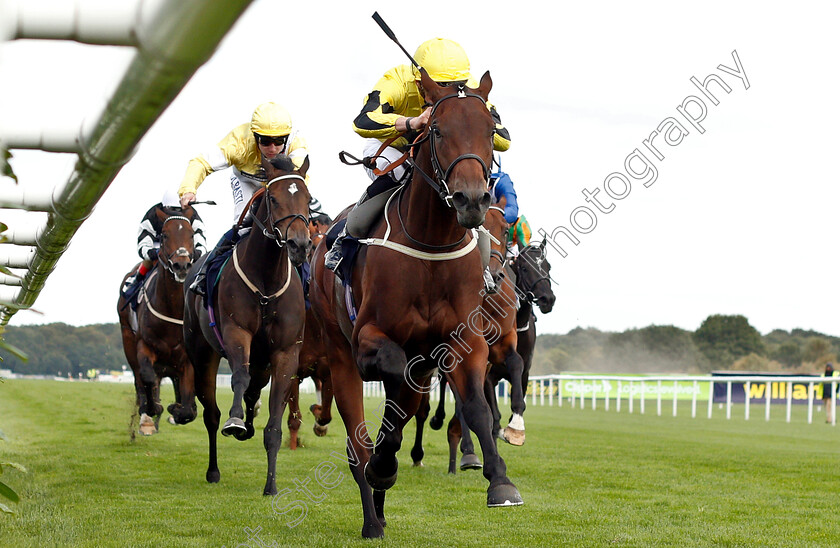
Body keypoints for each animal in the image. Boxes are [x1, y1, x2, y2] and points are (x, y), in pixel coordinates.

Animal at [117, 203, 201, 434]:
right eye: (164, 235)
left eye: (191, 235)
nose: (181, 265)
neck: (172, 309)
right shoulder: (145, 346)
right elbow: (147, 376)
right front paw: (152, 409)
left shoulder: (186, 357)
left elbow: (188, 405)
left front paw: (178, 410)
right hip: (128, 338)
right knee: (140, 378)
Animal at [184, 152, 312, 494]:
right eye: (272, 197)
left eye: (308, 198)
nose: (299, 244)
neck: (266, 279)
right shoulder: (236, 333)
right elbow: (238, 378)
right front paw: (236, 420)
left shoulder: (285, 352)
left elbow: (275, 423)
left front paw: (271, 486)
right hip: (202, 353)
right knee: (211, 413)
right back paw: (214, 468)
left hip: (262, 361)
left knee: (254, 390)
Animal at [308, 68, 520, 540]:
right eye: (437, 129)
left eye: (490, 129)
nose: (471, 199)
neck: (430, 244)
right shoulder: (368, 341)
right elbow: (395, 376)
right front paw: (383, 467)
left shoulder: (465, 342)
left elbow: (477, 408)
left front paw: (500, 481)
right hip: (338, 350)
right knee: (359, 440)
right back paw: (373, 514)